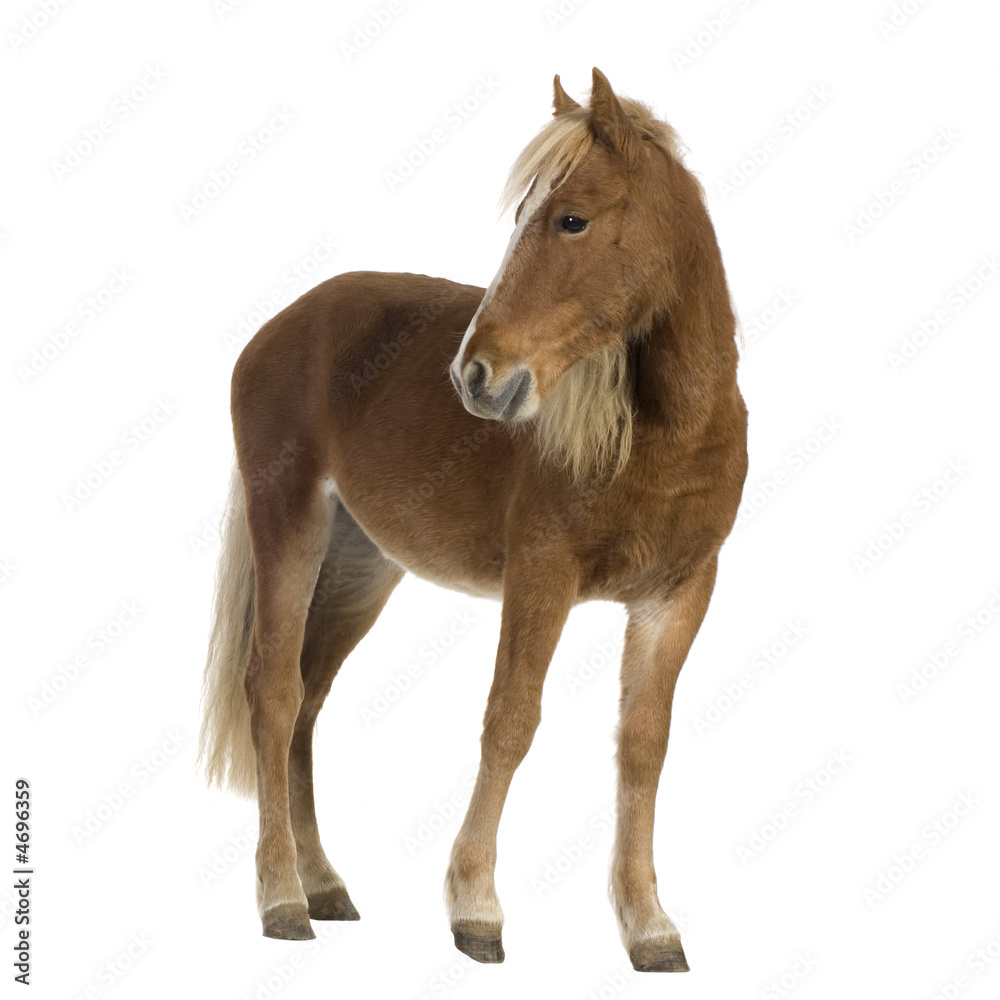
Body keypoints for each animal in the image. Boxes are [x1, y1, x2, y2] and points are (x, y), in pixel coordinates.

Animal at [198, 67, 748, 973]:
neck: (666, 437)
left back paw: (325, 886)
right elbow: (510, 721)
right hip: (290, 528)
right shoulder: (542, 574)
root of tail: (279, 326)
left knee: (308, 702)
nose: (476, 376)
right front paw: (476, 910)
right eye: (525, 215)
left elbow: (643, 745)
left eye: (571, 218)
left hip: (360, 567)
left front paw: (649, 927)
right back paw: (282, 900)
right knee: (273, 694)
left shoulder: (678, 595)